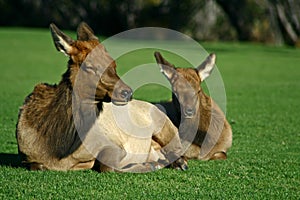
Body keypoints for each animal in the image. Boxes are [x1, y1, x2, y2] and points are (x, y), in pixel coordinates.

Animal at [15, 22, 185, 173]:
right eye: (88, 66)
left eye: (114, 64)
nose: (127, 92)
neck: (57, 152)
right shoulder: (26, 156)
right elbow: (36, 165)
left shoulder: (112, 144)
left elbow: (107, 166)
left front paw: (147, 166)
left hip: (166, 126)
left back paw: (177, 163)